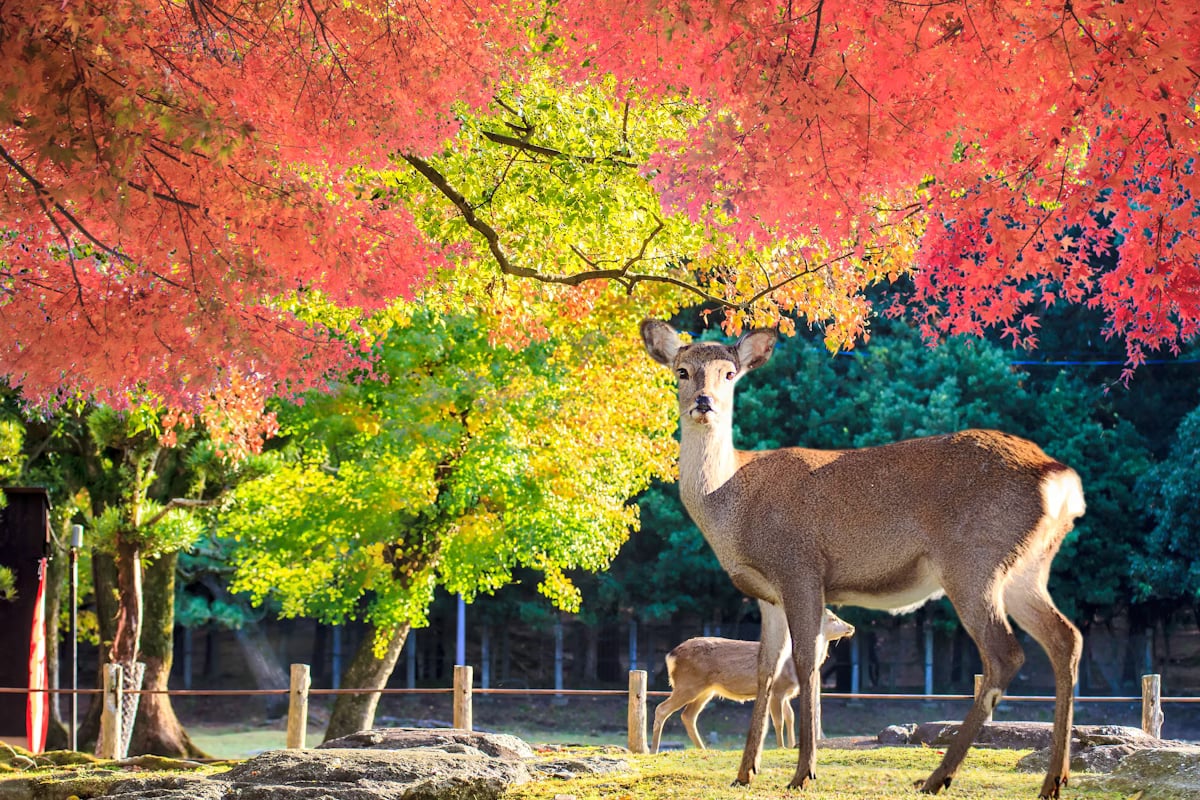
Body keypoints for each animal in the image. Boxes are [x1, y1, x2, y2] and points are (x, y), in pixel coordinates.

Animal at [651, 605, 854, 754]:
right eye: (833, 618)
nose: (851, 627)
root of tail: (670, 655)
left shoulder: (786, 693)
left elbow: (790, 717)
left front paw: (791, 745)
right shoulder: (778, 689)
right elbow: (778, 720)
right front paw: (781, 746)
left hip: (706, 690)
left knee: (688, 715)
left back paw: (703, 749)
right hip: (688, 684)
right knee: (662, 708)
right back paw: (653, 750)